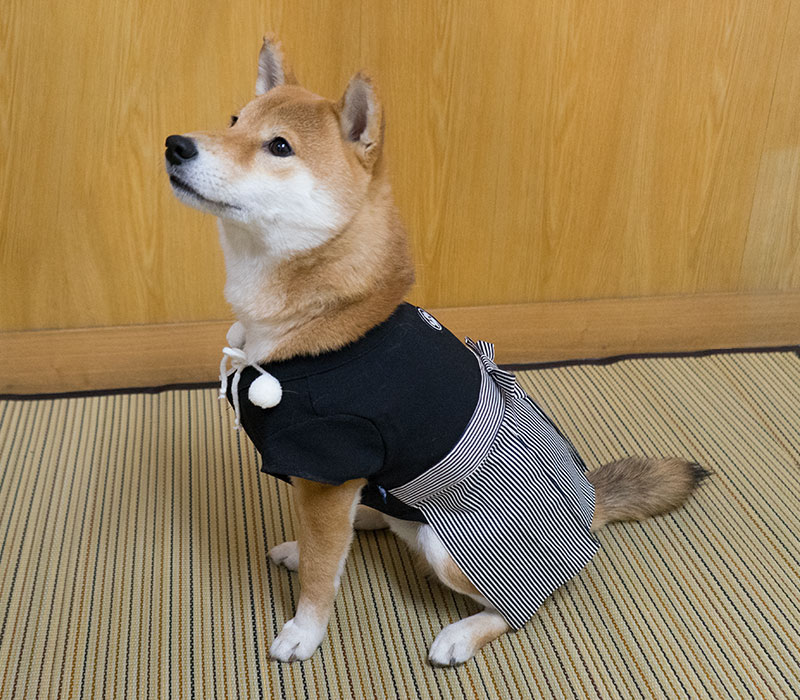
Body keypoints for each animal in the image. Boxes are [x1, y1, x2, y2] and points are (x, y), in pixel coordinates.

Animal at [164, 37, 708, 668]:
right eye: (233, 121)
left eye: (279, 146)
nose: (176, 144)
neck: (322, 313)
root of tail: (593, 506)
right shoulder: (328, 480)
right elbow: (327, 548)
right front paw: (309, 555)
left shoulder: (328, 467)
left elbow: (324, 573)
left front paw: (304, 630)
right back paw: (357, 523)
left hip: (456, 552)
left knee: (524, 605)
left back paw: (463, 633)